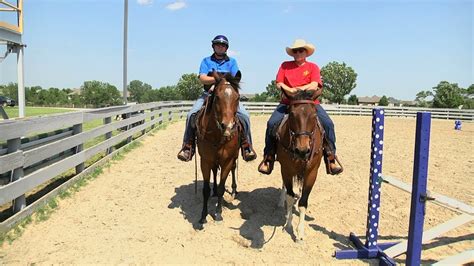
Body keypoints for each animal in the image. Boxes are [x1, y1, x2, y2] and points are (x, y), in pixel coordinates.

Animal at [195, 71, 241, 229]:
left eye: (238, 97)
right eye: (218, 97)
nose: (228, 126)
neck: (217, 135)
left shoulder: (227, 160)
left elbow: (222, 187)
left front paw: (218, 214)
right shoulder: (205, 161)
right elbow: (205, 190)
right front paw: (203, 216)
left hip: (234, 157)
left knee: (233, 168)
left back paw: (233, 190)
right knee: (215, 172)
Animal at [276, 90, 324, 242]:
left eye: (314, 115)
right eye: (291, 114)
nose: (302, 151)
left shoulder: (312, 173)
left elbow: (303, 202)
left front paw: (300, 233)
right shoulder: (286, 170)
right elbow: (290, 197)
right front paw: (288, 225)